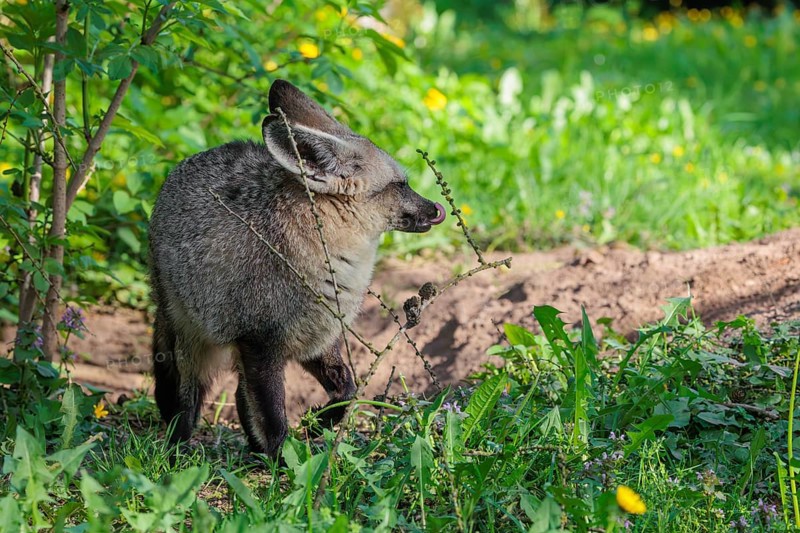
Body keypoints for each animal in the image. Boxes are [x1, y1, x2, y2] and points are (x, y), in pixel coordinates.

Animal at [148, 79, 446, 456]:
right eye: (400, 186)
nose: (436, 208)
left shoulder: (318, 338)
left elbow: (346, 392)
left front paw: (316, 424)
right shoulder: (260, 344)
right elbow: (275, 420)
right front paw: (284, 463)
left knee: (239, 396)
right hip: (188, 337)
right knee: (186, 397)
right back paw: (179, 447)